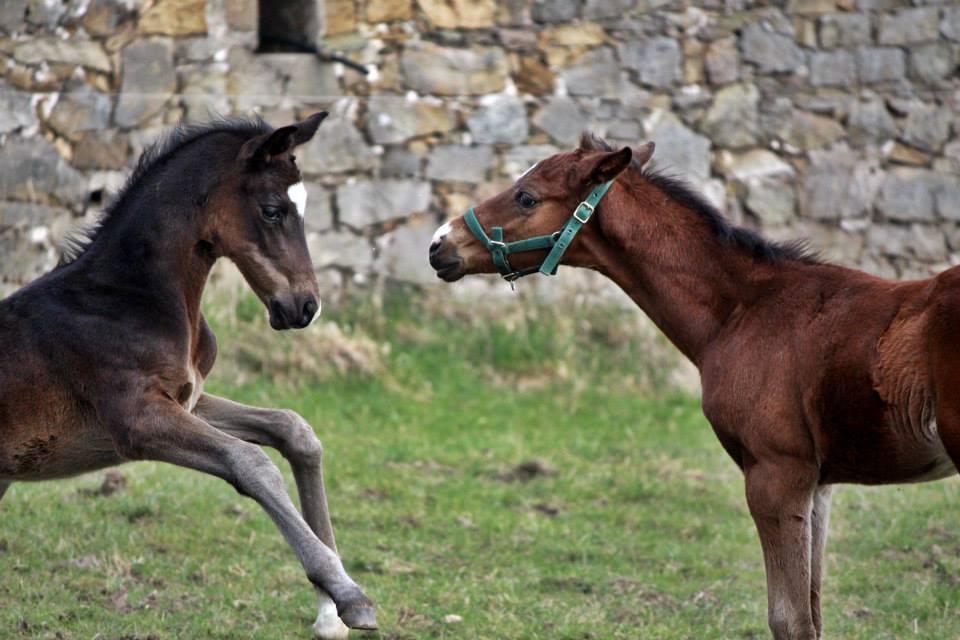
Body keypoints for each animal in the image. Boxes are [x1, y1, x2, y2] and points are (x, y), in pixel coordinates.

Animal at [0, 114, 376, 636]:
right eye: (272, 210)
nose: (304, 307)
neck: (132, 298)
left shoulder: (188, 398)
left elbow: (293, 429)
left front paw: (329, 611)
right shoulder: (135, 422)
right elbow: (251, 462)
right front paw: (348, 594)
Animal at [434, 135, 960, 640]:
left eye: (526, 197)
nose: (440, 244)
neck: (744, 310)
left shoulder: (776, 473)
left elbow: (789, 620)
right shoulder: (819, 483)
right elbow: (813, 612)